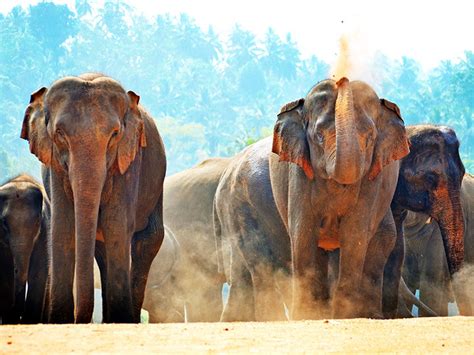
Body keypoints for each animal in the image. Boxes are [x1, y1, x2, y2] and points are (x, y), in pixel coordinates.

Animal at [0, 175, 50, 326]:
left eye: (37, 221)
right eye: (4, 222)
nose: (20, 314)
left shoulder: (45, 232)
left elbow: (38, 274)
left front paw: (30, 321)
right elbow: (6, 276)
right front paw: (10, 320)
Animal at [19, 73, 167, 324]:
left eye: (115, 135)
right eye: (59, 134)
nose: (80, 320)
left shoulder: (128, 163)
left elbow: (116, 225)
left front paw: (121, 319)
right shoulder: (54, 168)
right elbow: (63, 227)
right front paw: (60, 321)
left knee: (146, 240)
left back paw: (127, 319)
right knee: (102, 249)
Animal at [215, 78, 412, 322]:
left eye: (370, 139)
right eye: (318, 136)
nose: (341, 79)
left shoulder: (373, 179)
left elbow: (355, 234)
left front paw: (344, 314)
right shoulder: (298, 173)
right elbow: (303, 232)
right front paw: (307, 314)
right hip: (241, 206)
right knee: (259, 262)